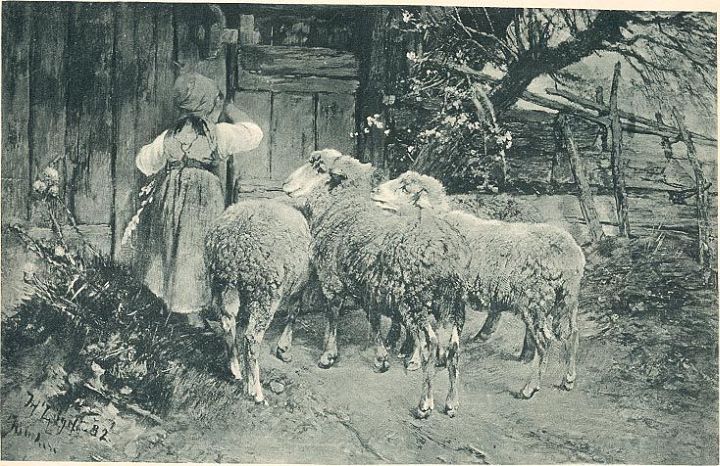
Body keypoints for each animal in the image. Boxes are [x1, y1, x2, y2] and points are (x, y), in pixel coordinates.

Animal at [204, 197, 314, 404]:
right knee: (251, 338)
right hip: (264, 291)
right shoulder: (300, 282)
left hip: (221, 284)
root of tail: (233, 243)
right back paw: (255, 391)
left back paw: (235, 370)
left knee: (227, 323)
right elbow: (294, 312)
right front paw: (284, 347)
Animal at [282, 150, 472, 418]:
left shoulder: (331, 278)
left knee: (430, 344)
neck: (345, 205)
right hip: (453, 305)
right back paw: (452, 402)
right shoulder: (369, 285)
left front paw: (328, 355)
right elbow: (373, 321)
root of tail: (447, 249)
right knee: (454, 347)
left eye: (318, 167)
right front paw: (381, 358)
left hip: (415, 301)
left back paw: (425, 403)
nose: (286, 184)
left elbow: (332, 315)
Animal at [372, 173, 584, 398]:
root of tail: (570, 254)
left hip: (536, 298)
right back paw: (567, 378)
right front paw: (440, 356)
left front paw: (415, 360)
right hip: (565, 300)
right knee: (572, 333)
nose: (374, 190)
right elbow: (444, 328)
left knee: (545, 341)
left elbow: (428, 328)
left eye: (405, 189)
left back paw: (529, 387)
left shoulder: (437, 292)